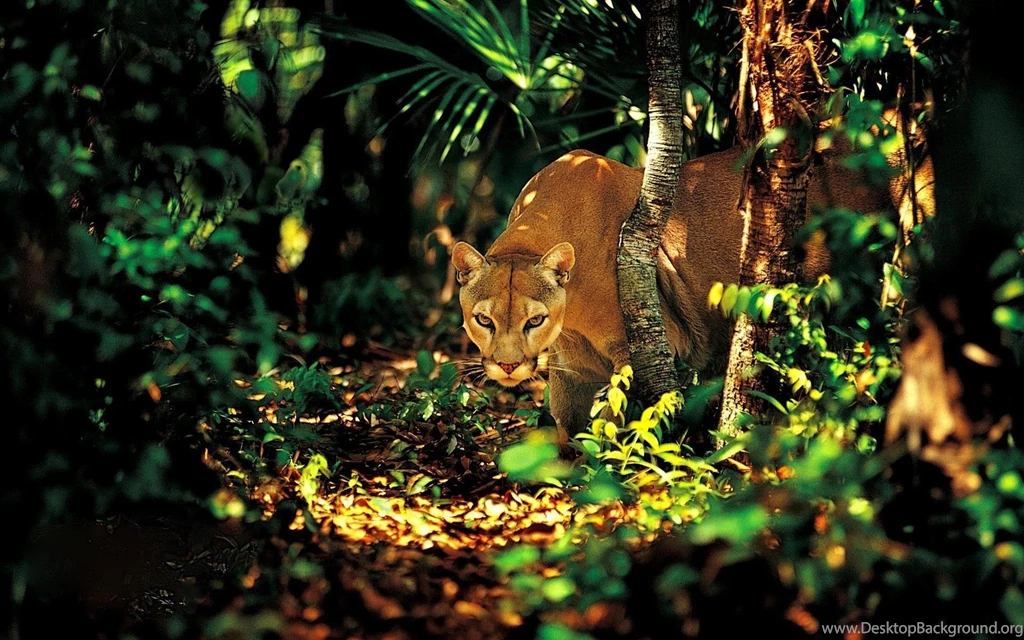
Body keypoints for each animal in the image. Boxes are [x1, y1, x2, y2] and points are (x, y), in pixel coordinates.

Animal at [452, 144, 932, 439]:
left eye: (535, 319)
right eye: (483, 320)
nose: (508, 366)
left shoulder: (648, 347)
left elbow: (613, 422)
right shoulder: (571, 367)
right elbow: (569, 428)